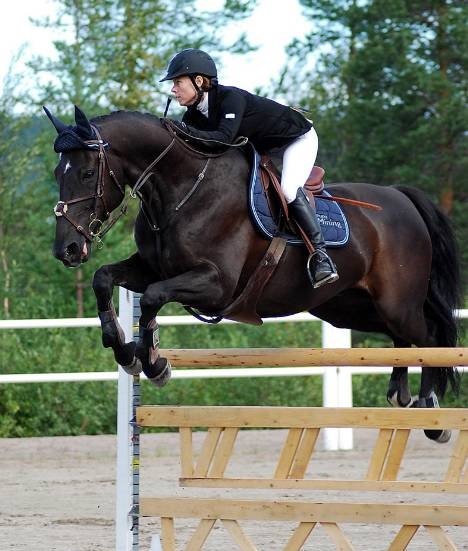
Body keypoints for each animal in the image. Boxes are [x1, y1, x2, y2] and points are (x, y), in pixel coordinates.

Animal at [45, 105, 462, 442]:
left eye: (87, 173)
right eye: (57, 172)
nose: (67, 249)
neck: (182, 188)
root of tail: (401, 196)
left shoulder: (216, 285)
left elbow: (152, 297)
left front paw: (154, 363)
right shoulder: (150, 268)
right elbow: (103, 279)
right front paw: (124, 350)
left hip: (396, 303)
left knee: (429, 338)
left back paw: (431, 412)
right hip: (349, 307)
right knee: (403, 339)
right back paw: (400, 395)